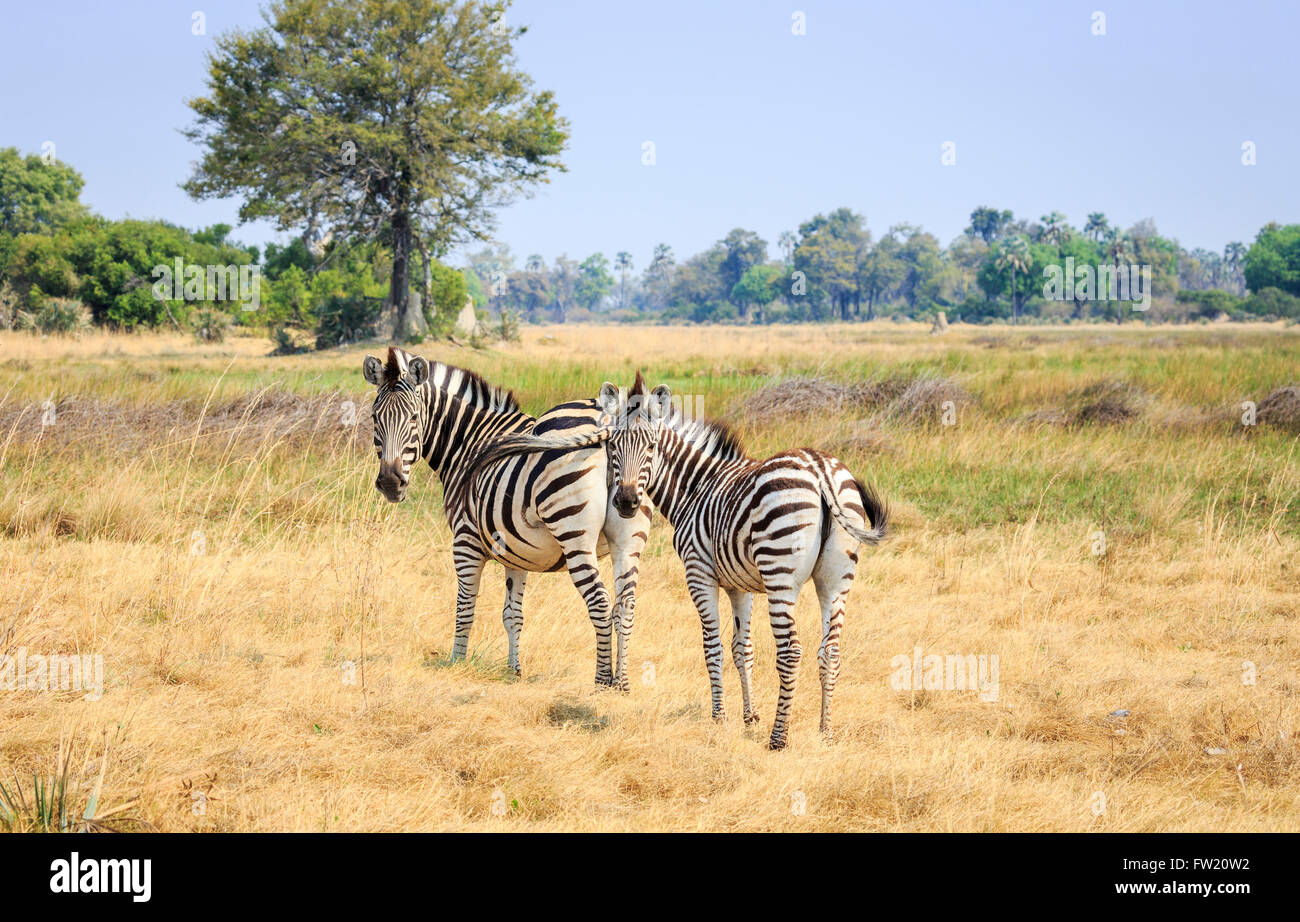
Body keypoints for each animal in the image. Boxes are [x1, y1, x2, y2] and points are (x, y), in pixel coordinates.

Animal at [362, 347, 651, 689]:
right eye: (375, 418)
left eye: (414, 418)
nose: (390, 483)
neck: (470, 442)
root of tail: (609, 423)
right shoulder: (516, 551)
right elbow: (512, 615)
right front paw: (513, 670)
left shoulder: (466, 542)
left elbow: (465, 607)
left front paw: (457, 662)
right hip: (629, 533)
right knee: (626, 606)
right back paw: (622, 683)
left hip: (573, 533)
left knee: (601, 601)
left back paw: (602, 680)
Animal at [474, 374, 889, 749]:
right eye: (612, 447)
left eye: (652, 446)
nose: (626, 501)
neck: (696, 487)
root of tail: (821, 470)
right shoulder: (740, 584)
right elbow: (742, 648)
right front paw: (749, 717)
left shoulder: (699, 573)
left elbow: (712, 647)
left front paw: (720, 717)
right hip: (835, 580)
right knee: (830, 651)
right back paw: (825, 732)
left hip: (780, 574)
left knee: (791, 651)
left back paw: (778, 738)